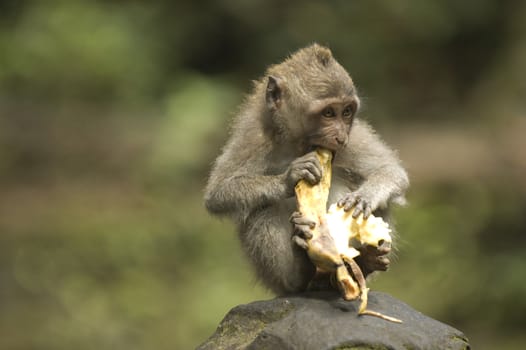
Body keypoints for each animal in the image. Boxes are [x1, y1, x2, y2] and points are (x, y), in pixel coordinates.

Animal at [204, 43, 410, 296]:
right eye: (328, 113)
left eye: (347, 112)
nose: (340, 137)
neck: (296, 145)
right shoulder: (253, 137)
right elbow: (218, 193)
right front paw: (289, 178)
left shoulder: (353, 137)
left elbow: (391, 171)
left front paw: (365, 197)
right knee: (261, 208)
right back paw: (299, 273)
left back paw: (365, 262)